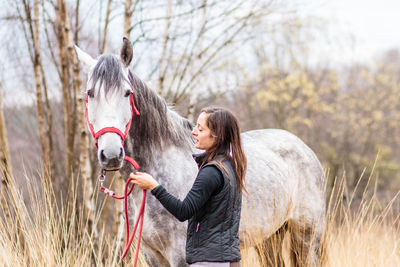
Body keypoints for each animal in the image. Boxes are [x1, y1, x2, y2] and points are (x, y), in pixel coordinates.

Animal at [75, 38, 324, 267]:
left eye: (127, 93)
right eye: (90, 93)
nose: (111, 154)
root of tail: (305, 149)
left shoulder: (181, 256)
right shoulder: (152, 254)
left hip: (307, 237)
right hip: (270, 237)